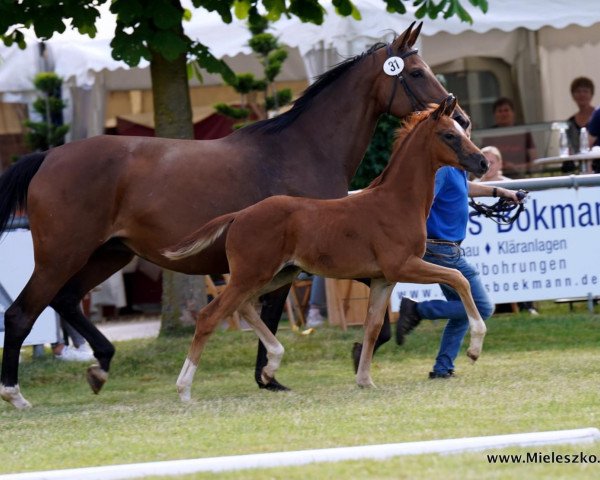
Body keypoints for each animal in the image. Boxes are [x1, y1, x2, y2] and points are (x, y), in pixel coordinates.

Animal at [164, 94, 488, 402]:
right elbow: (459, 279)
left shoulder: (383, 279)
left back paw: (271, 366)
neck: (396, 202)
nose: (482, 163)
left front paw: (364, 380)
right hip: (252, 275)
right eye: (449, 135)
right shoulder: (403, 266)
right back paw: (184, 389)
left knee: (243, 307)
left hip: (279, 275)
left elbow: (372, 326)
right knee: (210, 315)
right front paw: (475, 348)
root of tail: (239, 215)